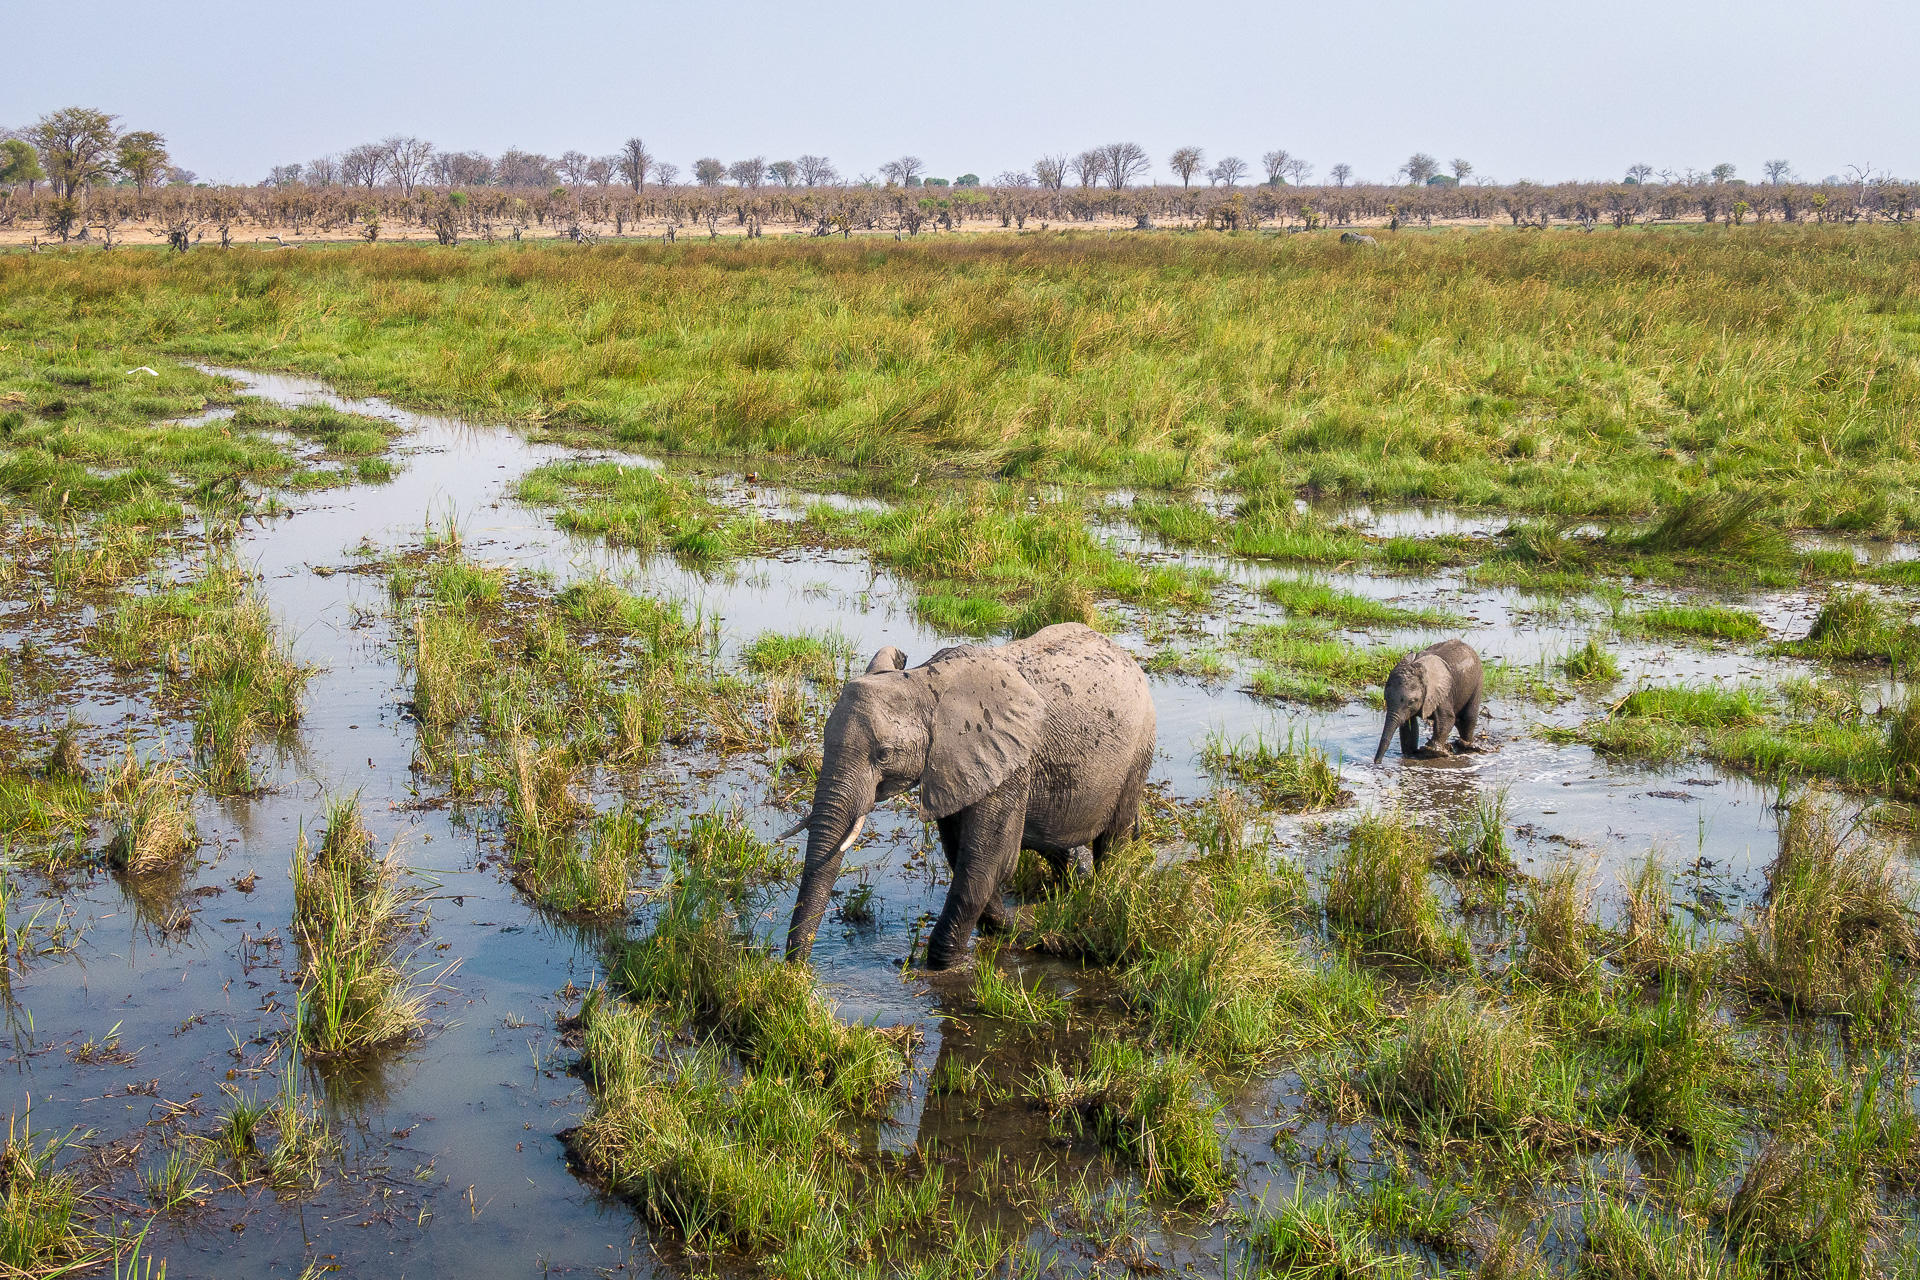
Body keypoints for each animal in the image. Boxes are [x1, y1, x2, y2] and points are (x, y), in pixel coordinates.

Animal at [783, 621, 1152, 971]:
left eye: (884, 754)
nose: (797, 972)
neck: (923, 684)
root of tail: (1127, 657)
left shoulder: (1009, 763)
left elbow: (987, 861)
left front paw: (943, 966)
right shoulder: (953, 767)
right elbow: (961, 850)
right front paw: (1008, 930)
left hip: (1138, 752)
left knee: (1113, 839)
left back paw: (1101, 894)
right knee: (1050, 840)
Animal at [1374, 637, 1474, 767]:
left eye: (1411, 702)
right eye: (1386, 698)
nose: (1377, 763)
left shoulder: (1442, 693)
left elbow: (1447, 719)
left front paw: (1432, 751)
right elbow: (1409, 725)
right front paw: (1411, 753)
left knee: (1468, 718)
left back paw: (1466, 746)